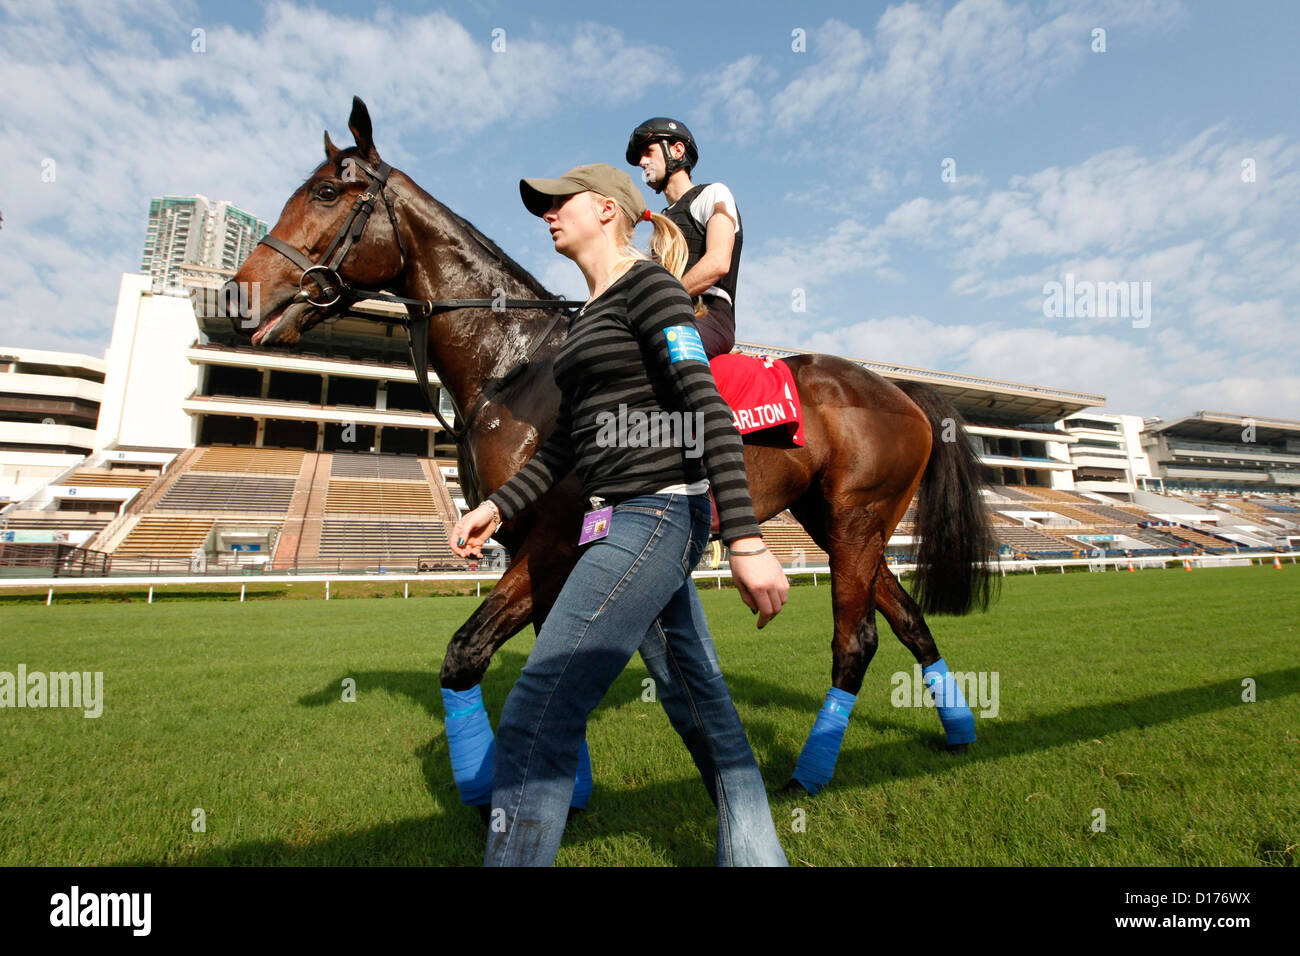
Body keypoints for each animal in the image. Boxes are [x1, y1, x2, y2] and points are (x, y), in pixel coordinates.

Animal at [226, 97, 993, 811]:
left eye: (327, 192)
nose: (239, 291)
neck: (516, 368)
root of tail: (900, 391)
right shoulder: (527, 543)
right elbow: (548, 655)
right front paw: (568, 786)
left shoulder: (554, 540)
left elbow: (468, 653)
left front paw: (485, 791)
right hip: (837, 525)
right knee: (908, 624)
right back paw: (957, 733)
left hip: (858, 522)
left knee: (854, 641)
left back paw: (811, 771)